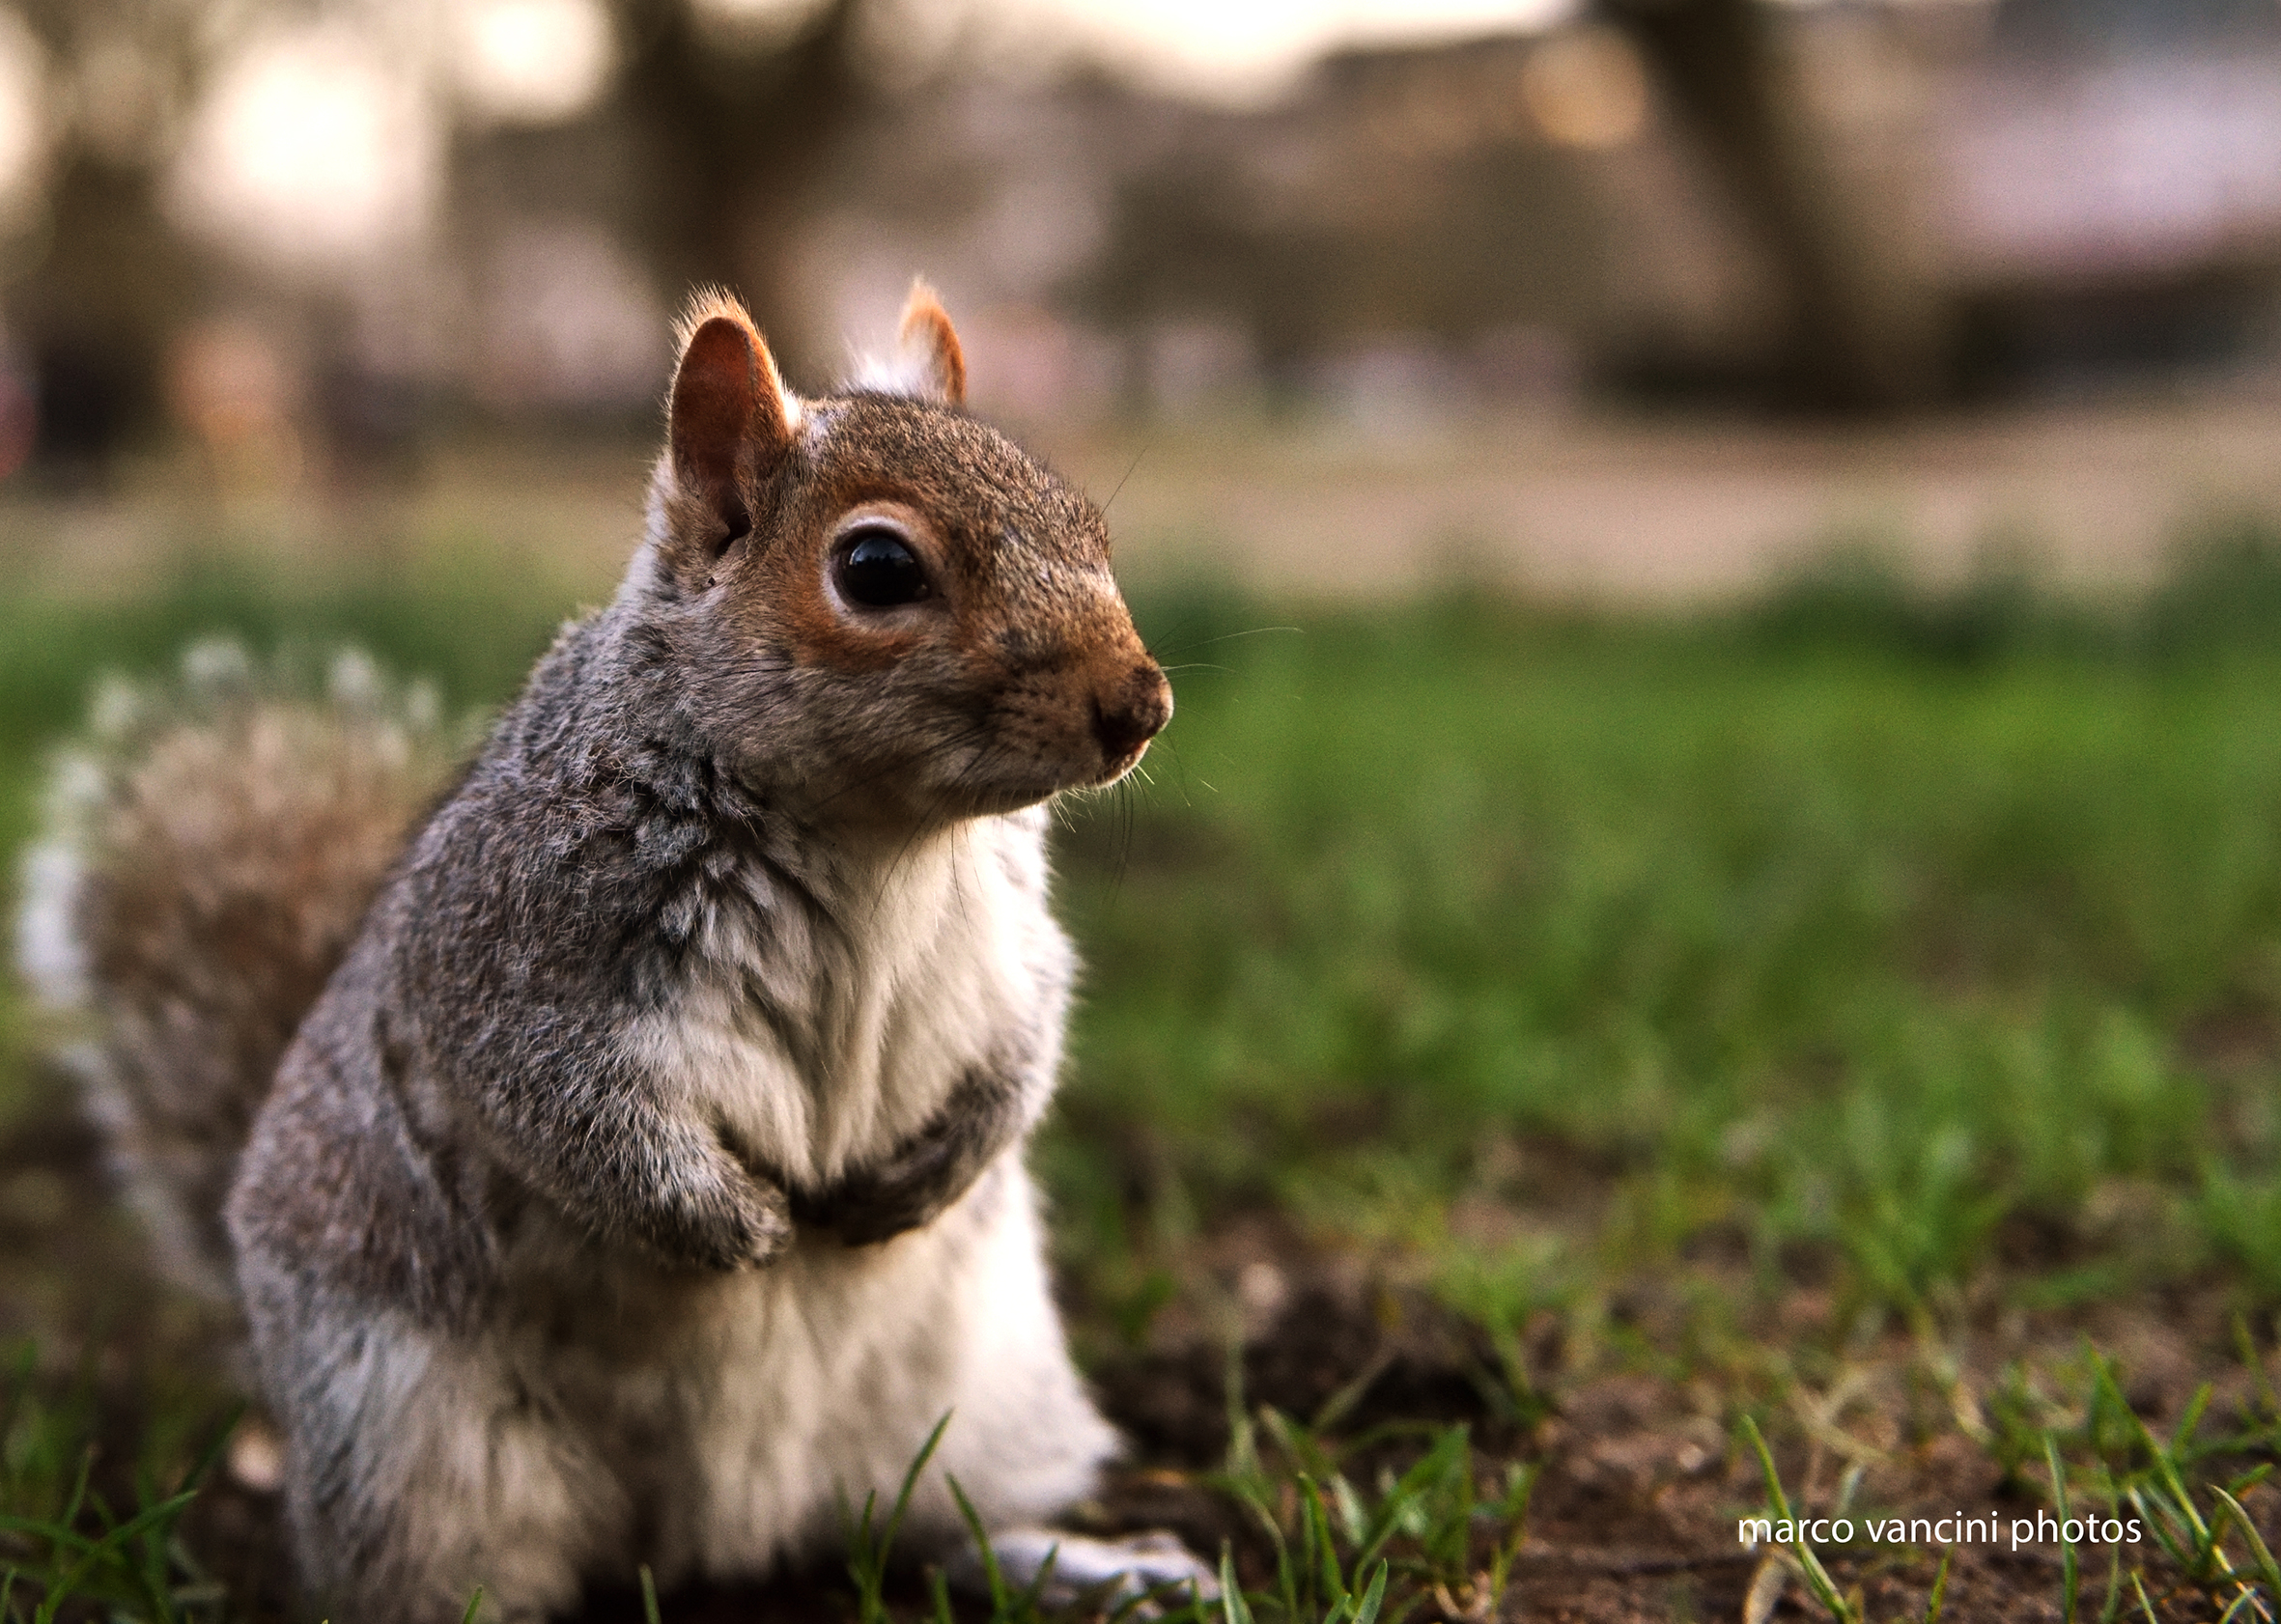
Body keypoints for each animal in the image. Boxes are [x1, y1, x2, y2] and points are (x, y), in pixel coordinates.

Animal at [18, 283, 1212, 1622]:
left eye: (1089, 525)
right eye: (877, 567)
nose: (1141, 705)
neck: (881, 836)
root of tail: (717, 1532)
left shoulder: (1010, 939)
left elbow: (1026, 1040)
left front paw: (935, 1166)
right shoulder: (511, 953)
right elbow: (568, 1113)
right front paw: (736, 1226)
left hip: (985, 1390)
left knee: (933, 1522)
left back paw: (1087, 1562)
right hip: (415, 1446)